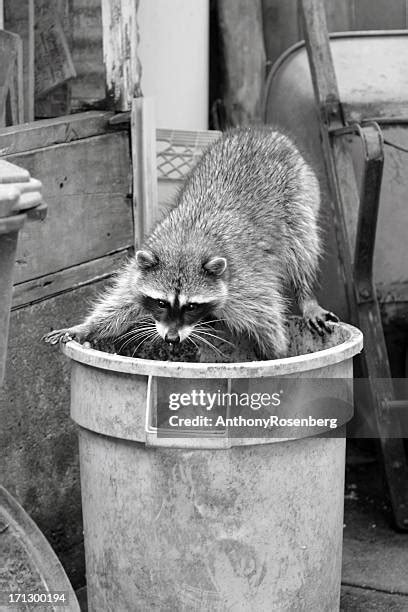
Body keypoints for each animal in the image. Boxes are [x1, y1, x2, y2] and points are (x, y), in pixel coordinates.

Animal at [43, 128, 338, 358]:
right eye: (161, 303)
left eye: (192, 306)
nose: (172, 339)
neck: (185, 244)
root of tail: (265, 133)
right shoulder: (140, 269)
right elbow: (118, 306)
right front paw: (85, 327)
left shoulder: (246, 286)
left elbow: (268, 322)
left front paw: (276, 357)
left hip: (301, 199)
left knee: (302, 248)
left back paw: (306, 294)